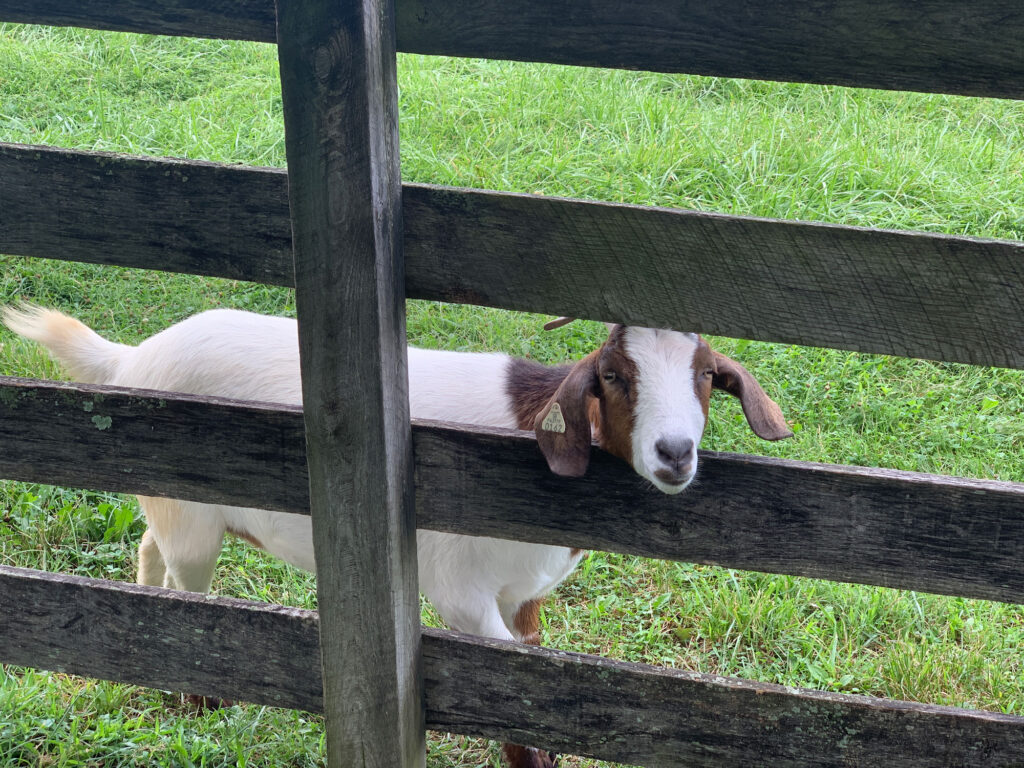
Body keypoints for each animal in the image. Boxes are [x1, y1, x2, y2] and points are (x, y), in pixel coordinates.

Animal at [4, 309, 790, 768]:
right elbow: (512, 707)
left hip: (172, 505)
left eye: (707, 377)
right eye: (614, 376)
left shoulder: (524, 596)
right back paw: (195, 705)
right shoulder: (464, 596)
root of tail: (130, 360)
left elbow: (531, 693)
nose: (674, 453)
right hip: (191, 517)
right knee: (187, 597)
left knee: (149, 554)